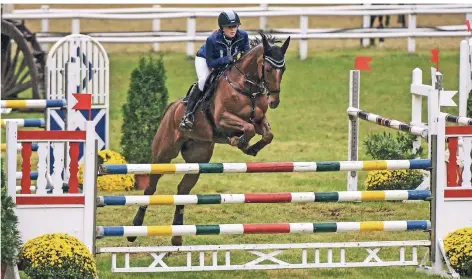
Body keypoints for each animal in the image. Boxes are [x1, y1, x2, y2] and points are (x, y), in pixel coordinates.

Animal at [127, 32, 290, 247]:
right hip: (163, 154)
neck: (247, 88)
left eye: (283, 69)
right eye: (269, 68)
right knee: (151, 188)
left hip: (198, 158)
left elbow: (266, 134)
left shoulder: (259, 119)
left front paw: (251, 148)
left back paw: (177, 236)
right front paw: (239, 141)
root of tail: (171, 108)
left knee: (183, 190)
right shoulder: (222, 119)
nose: (274, 101)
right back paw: (134, 229)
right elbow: (246, 129)